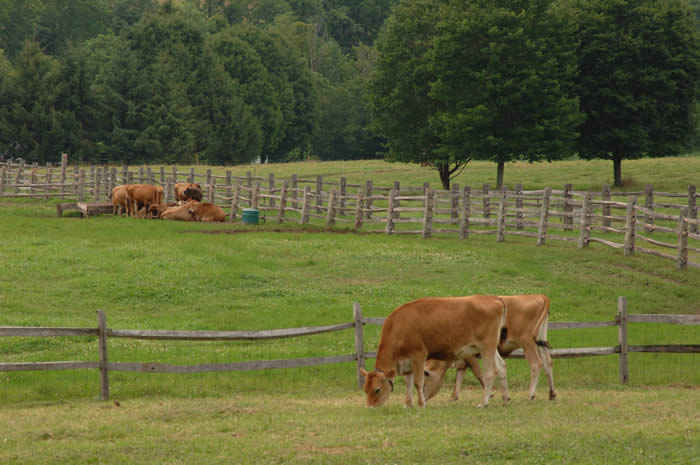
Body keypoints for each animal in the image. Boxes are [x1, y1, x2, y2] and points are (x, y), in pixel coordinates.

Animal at [359, 296, 509, 408]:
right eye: (365, 389)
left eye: (377, 389)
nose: (370, 407)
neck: (398, 326)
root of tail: (493, 298)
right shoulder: (407, 363)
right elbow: (408, 383)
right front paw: (408, 404)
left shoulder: (418, 355)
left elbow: (418, 382)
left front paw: (421, 404)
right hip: (491, 348)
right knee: (501, 367)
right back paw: (505, 399)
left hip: (486, 346)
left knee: (490, 372)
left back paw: (483, 403)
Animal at [422, 294, 555, 402]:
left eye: (426, 373)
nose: (422, 397)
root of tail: (540, 296)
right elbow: (459, 374)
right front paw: (454, 396)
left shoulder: (470, 354)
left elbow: (477, 372)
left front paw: (490, 394)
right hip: (540, 341)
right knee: (548, 362)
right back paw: (552, 394)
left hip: (527, 341)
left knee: (536, 364)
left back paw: (531, 395)